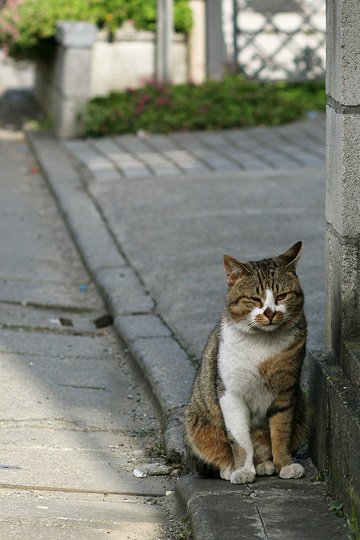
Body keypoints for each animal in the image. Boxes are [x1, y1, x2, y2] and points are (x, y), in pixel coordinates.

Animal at [186, 243, 306, 484]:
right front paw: (241, 469)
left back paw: (265, 464)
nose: (270, 313)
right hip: (197, 424)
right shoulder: (230, 394)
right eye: (254, 299)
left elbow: (281, 432)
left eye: (282, 296)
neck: (263, 343)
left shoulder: (286, 391)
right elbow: (240, 437)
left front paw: (285, 465)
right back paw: (228, 468)